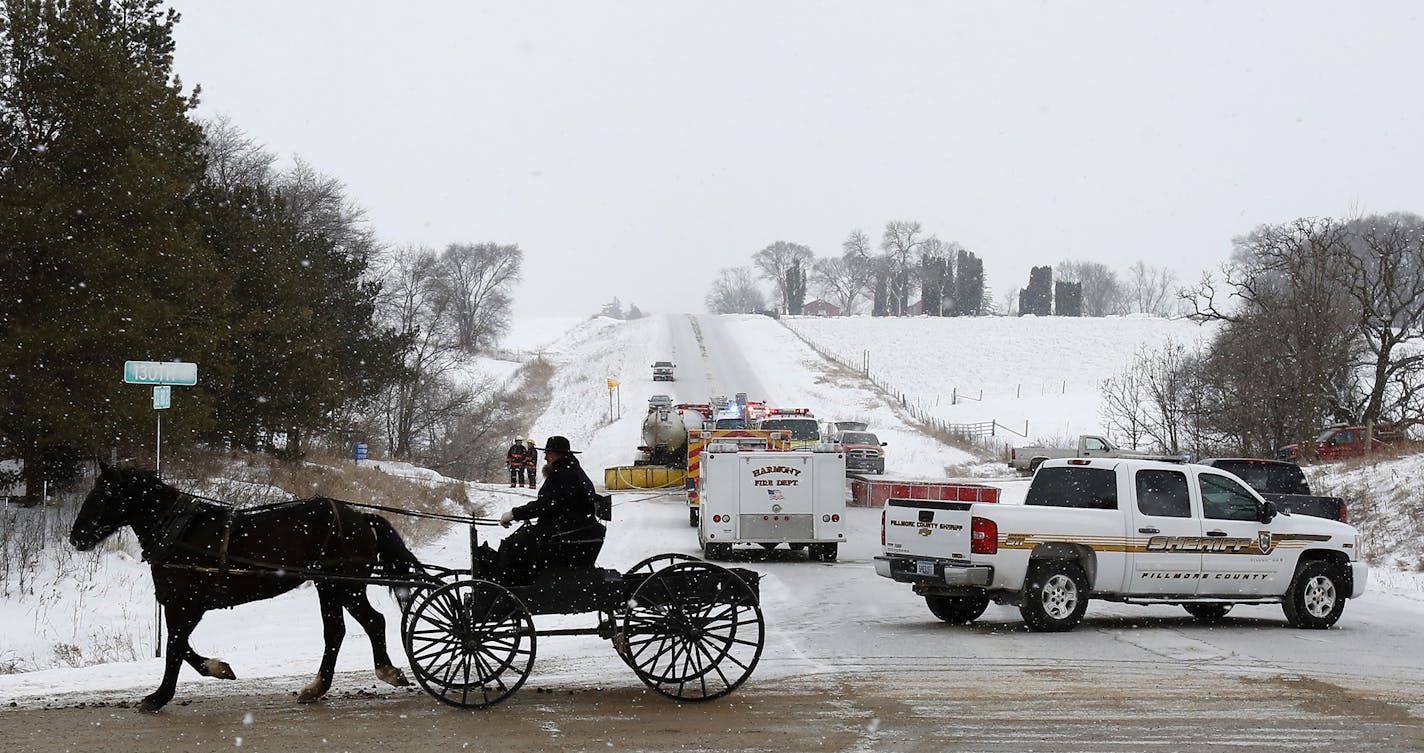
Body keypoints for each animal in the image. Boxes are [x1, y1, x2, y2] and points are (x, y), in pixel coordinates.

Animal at [67, 461, 421, 714]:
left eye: (102, 496)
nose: (76, 537)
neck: (182, 534)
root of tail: (361, 518)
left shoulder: (185, 604)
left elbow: (174, 648)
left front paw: (158, 697)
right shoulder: (181, 605)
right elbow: (181, 647)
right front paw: (219, 668)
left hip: (344, 586)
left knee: (373, 621)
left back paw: (388, 672)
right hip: (329, 587)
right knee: (336, 631)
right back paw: (317, 687)